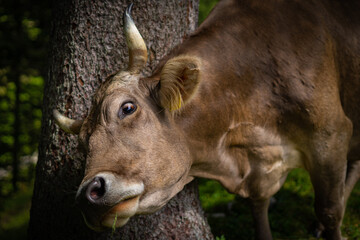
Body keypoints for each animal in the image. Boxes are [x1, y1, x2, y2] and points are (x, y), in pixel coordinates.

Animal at [53, 0, 360, 239]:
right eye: (82, 143)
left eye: (127, 108)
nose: (89, 194)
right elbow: (259, 212)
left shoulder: (332, 134)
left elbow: (330, 211)